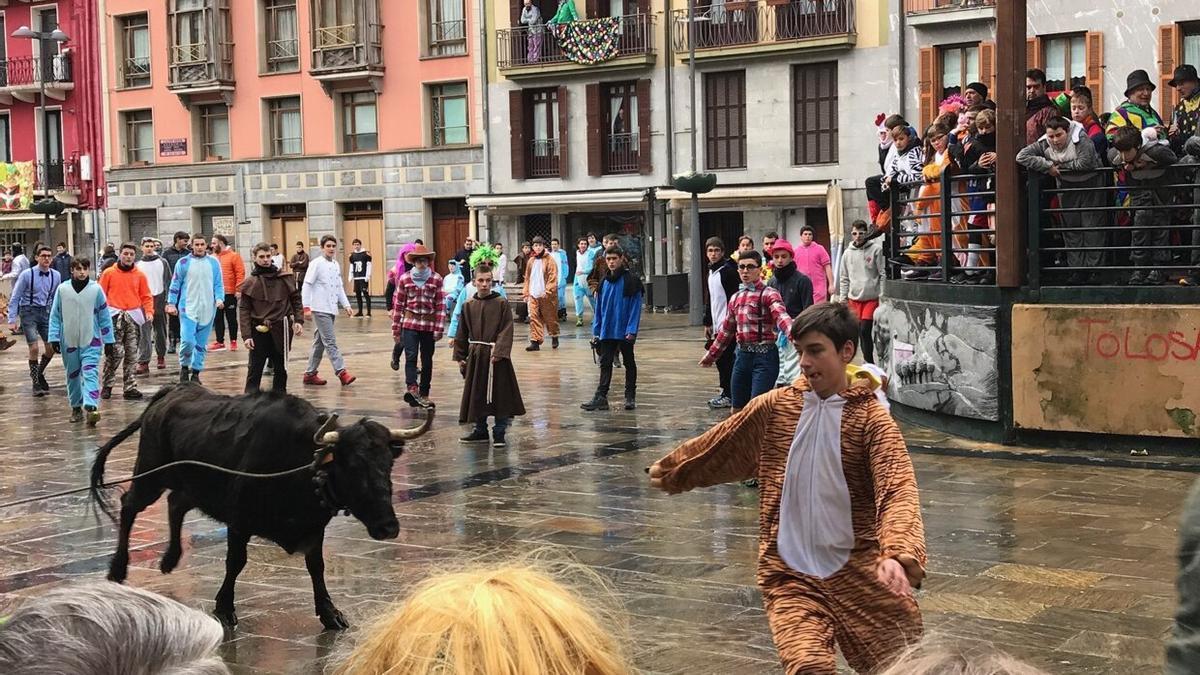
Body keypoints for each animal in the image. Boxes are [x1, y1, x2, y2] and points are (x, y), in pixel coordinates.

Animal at [90, 384, 436, 629]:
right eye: (352, 465)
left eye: (388, 464)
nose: (388, 527)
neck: (299, 462)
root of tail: (173, 391)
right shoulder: (239, 522)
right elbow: (235, 562)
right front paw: (224, 607)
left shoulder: (315, 529)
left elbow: (317, 567)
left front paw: (330, 613)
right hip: (150, 474)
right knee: (129, 506)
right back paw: (118, 568)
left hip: (189, 484)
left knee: (175, 504)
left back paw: (170, 558)